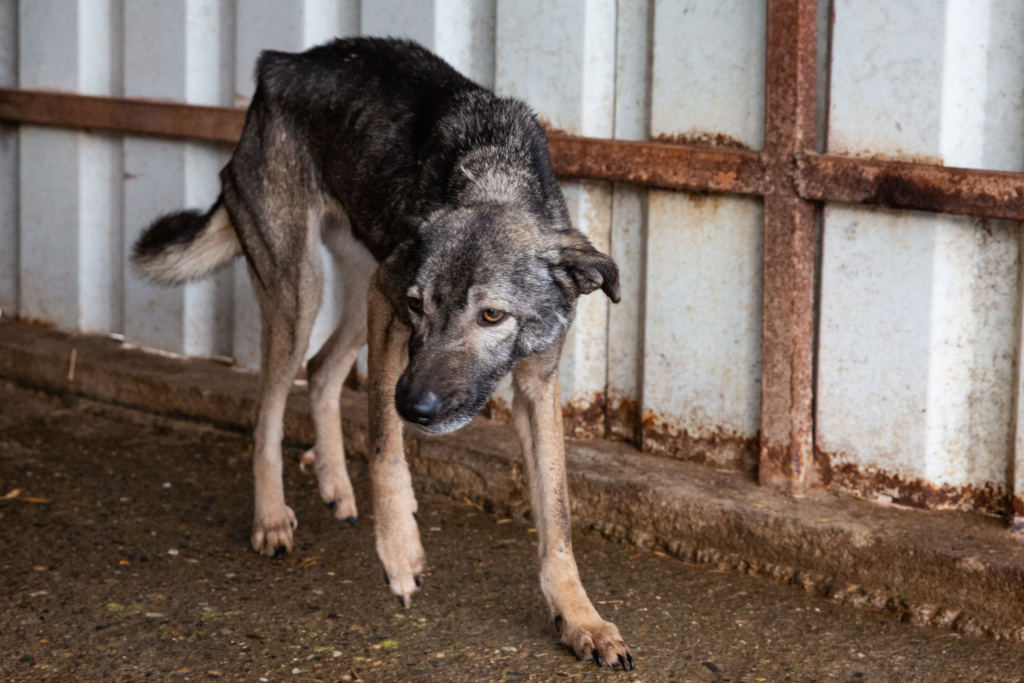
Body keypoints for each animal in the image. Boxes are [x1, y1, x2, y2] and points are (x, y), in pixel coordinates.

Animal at [134, 36, 630, 667]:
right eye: (420, 305)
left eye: (493, 315)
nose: (416, 407)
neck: (492, 175)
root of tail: (279, 63)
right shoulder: (391, 314)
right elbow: (383, 444)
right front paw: (398, 550)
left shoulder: (536, 386)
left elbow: (558, 514)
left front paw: (580, 617)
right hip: (302, 291)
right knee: (268, 409)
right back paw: (271, 517)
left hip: (356, 287)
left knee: (321, 370)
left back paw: (334, 486)